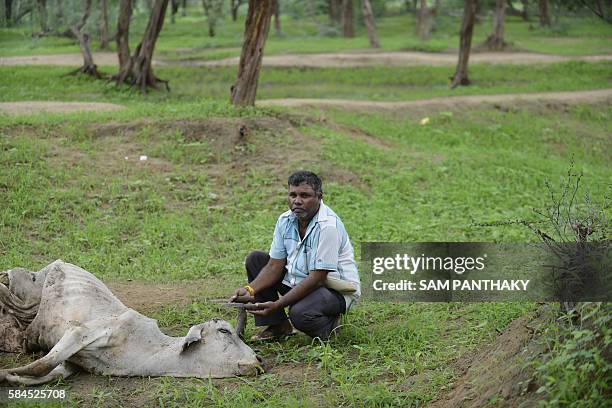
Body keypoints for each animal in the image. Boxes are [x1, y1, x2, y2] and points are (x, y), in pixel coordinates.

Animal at [0, 260, 260, 384]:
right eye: (224, 331)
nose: (259, 360)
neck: (150, 351)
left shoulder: (72, 363)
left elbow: (48, 372)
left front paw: (12, 377)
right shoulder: (80, 332)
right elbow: (42, 364)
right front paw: (3, 373)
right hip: (25, 288)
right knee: (8, 287)